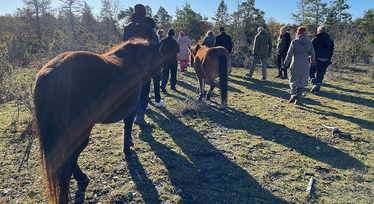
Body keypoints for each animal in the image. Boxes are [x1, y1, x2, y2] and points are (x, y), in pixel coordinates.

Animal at [31, 37, 162, 202]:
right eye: (160, 57)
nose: (160, 78)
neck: (136, 61)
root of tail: (51, 73)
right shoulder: (131, 112)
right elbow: (128, 128)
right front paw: (127, 151)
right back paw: (80, 179)